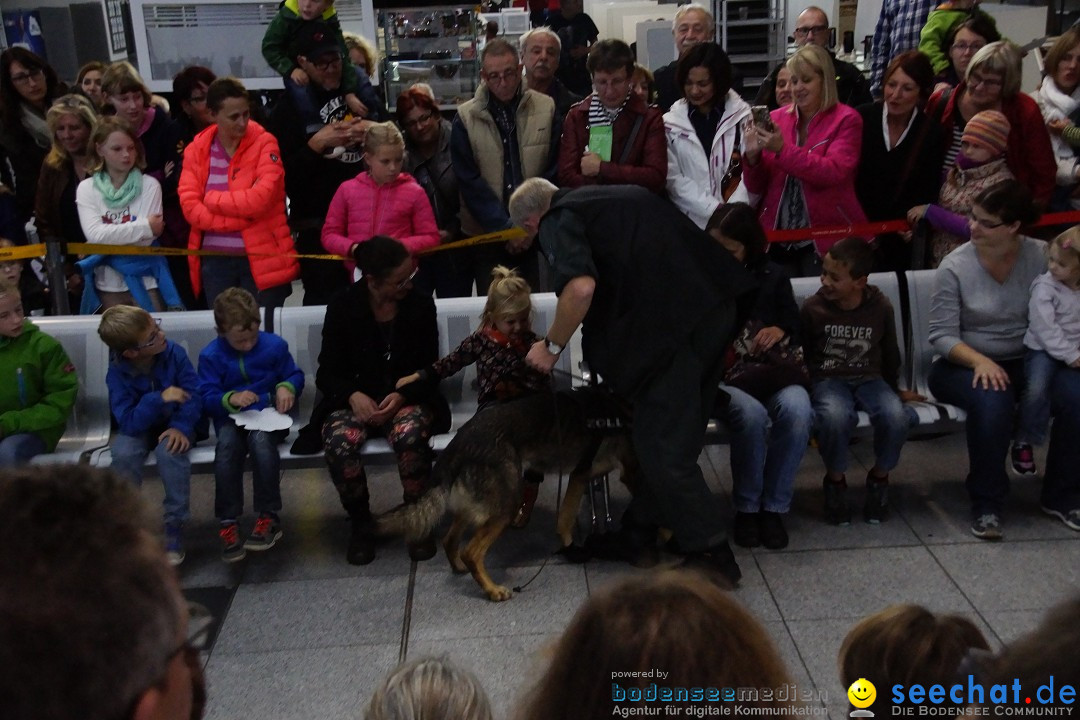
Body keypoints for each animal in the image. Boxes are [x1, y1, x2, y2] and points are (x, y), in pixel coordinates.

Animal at [375, 390, 635, 600]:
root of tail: (457, 443)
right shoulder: (622, 473)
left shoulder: (579, 477)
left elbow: (565, 518)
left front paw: (571, 548)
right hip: (506, 505)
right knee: (471, 552)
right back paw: (492, 590)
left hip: (477, 505)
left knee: (450, 540)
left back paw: (460, 568)